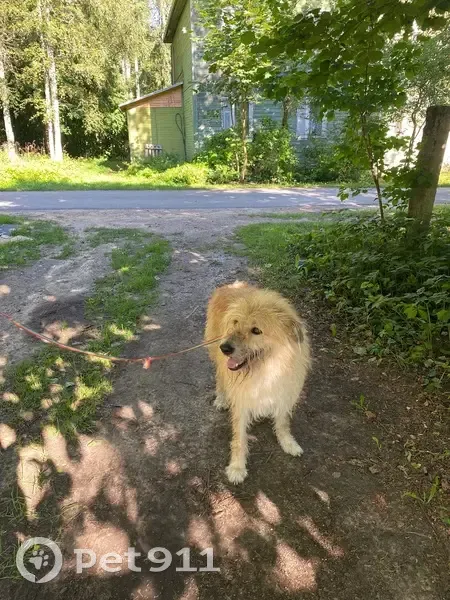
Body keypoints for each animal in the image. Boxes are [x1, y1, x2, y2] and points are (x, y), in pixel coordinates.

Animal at [205, 281, 311, 484]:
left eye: (256, 330)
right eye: (235, 322)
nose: (225, 348)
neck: (266, 368)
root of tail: (229, 286)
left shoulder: (283, 393)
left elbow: (282, 423)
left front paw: (287, 442)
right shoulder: (241, 400)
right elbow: (239, 437)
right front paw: (237, 467)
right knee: (220, 378)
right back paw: (221, 398)